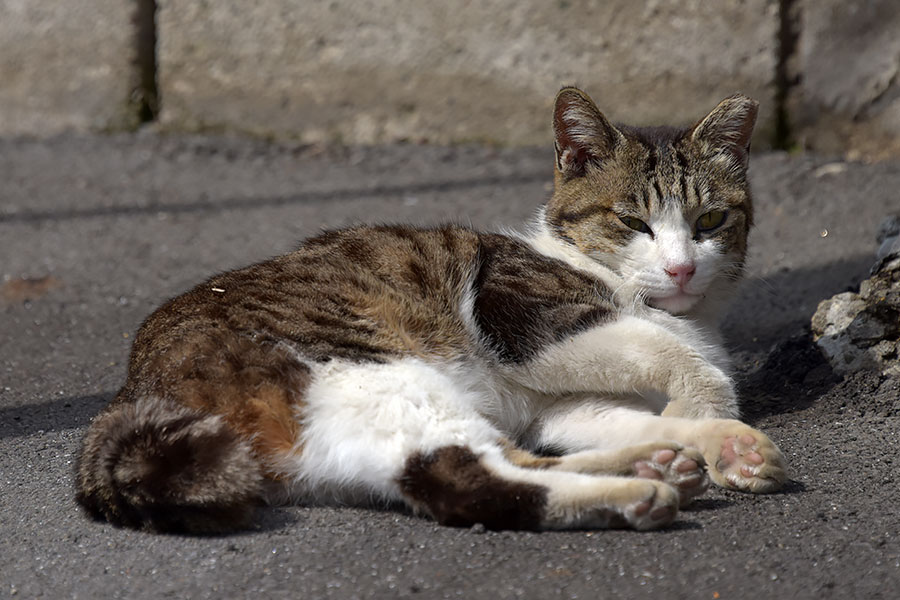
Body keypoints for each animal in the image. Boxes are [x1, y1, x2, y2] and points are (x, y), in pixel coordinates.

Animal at [75, 86, 788, 532]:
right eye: (632, 221)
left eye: (710, 220)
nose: (681, 267)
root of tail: (132, 393)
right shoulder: (528, 318)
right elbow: (669, 354)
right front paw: (709, 412)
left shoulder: (564, 406)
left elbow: (609, 414)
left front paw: (712, 438)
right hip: (379, 371)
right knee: (469, 479)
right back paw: (640, 492)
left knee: (492, 464)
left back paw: (652, 464)